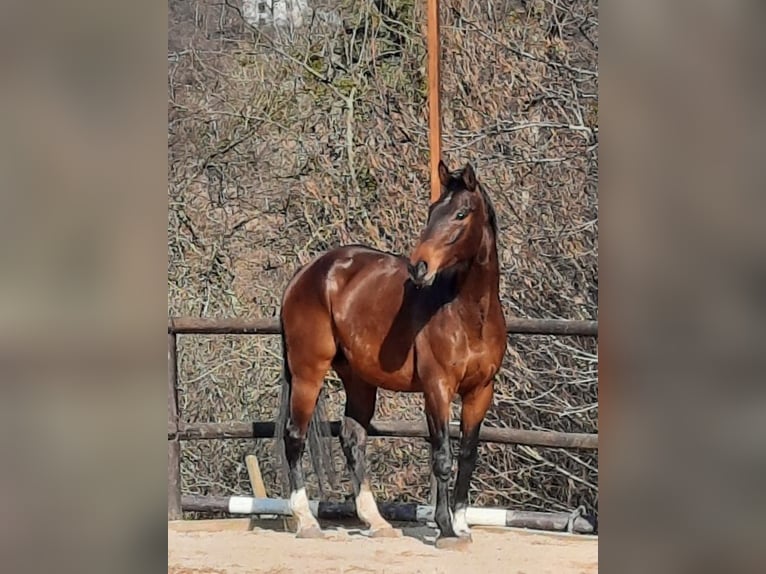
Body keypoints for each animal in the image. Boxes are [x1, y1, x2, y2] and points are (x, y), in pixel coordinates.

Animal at [278, 161, 510, 548]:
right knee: (295, 435)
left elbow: (467, 455)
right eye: (433, 211)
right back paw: (306, 521)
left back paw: (376, 521)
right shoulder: (437, 389)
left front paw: (462, 525)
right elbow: (442, 457)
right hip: (307, 373)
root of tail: (306, 272)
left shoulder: (481, 391)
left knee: (352, 438)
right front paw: (446, 528)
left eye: (461, 213)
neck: (468, 313)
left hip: (359, 380)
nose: (419, 267)